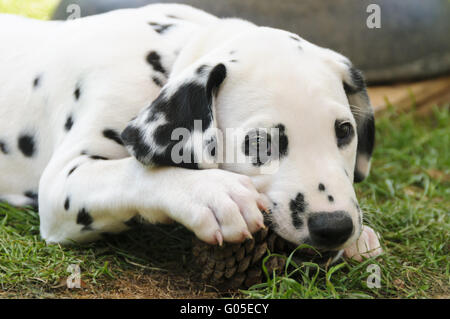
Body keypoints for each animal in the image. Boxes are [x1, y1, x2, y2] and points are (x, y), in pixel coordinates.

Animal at [0, 3, 382, 264]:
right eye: (260, 143)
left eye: (344, 131)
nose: (335, 226)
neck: (174, 50)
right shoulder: (61, 183)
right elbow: (133, 173)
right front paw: (213, 193)